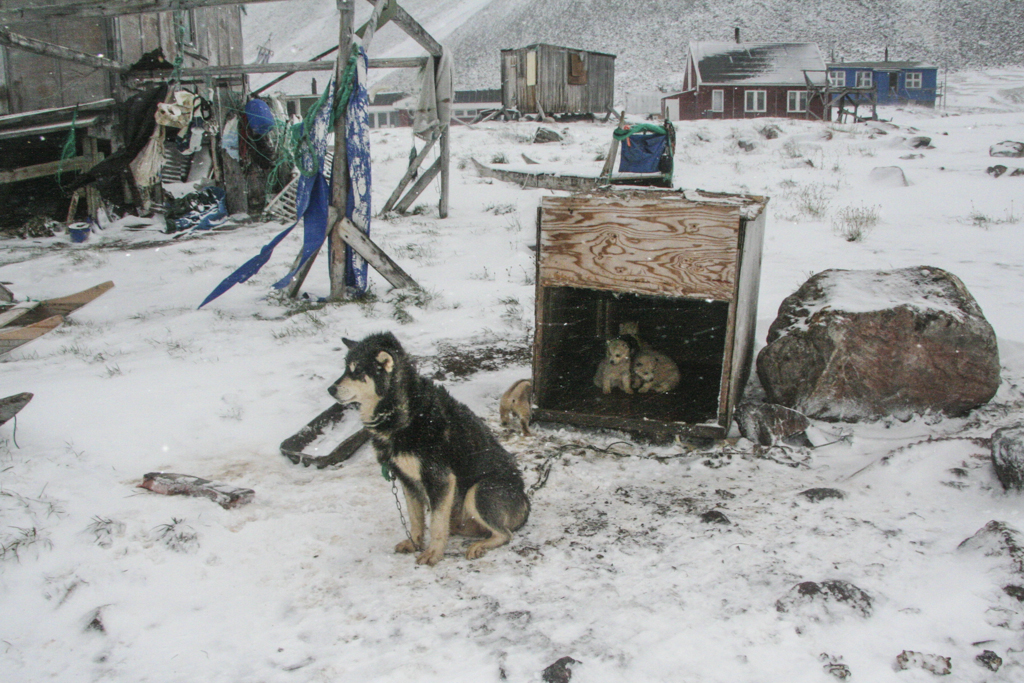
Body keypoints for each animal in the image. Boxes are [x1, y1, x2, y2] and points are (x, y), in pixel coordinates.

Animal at [327, 331, 532, 565]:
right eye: (345, 369)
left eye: (358, 371)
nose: (330, 389)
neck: (403, 413)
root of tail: (525, 503)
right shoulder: (407, 480)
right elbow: (415, 519)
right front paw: (415, 543)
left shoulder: (440, 479)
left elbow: (435, 524)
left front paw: (433, 553)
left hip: (478, 490)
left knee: (505, 534)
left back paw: (479, 546)